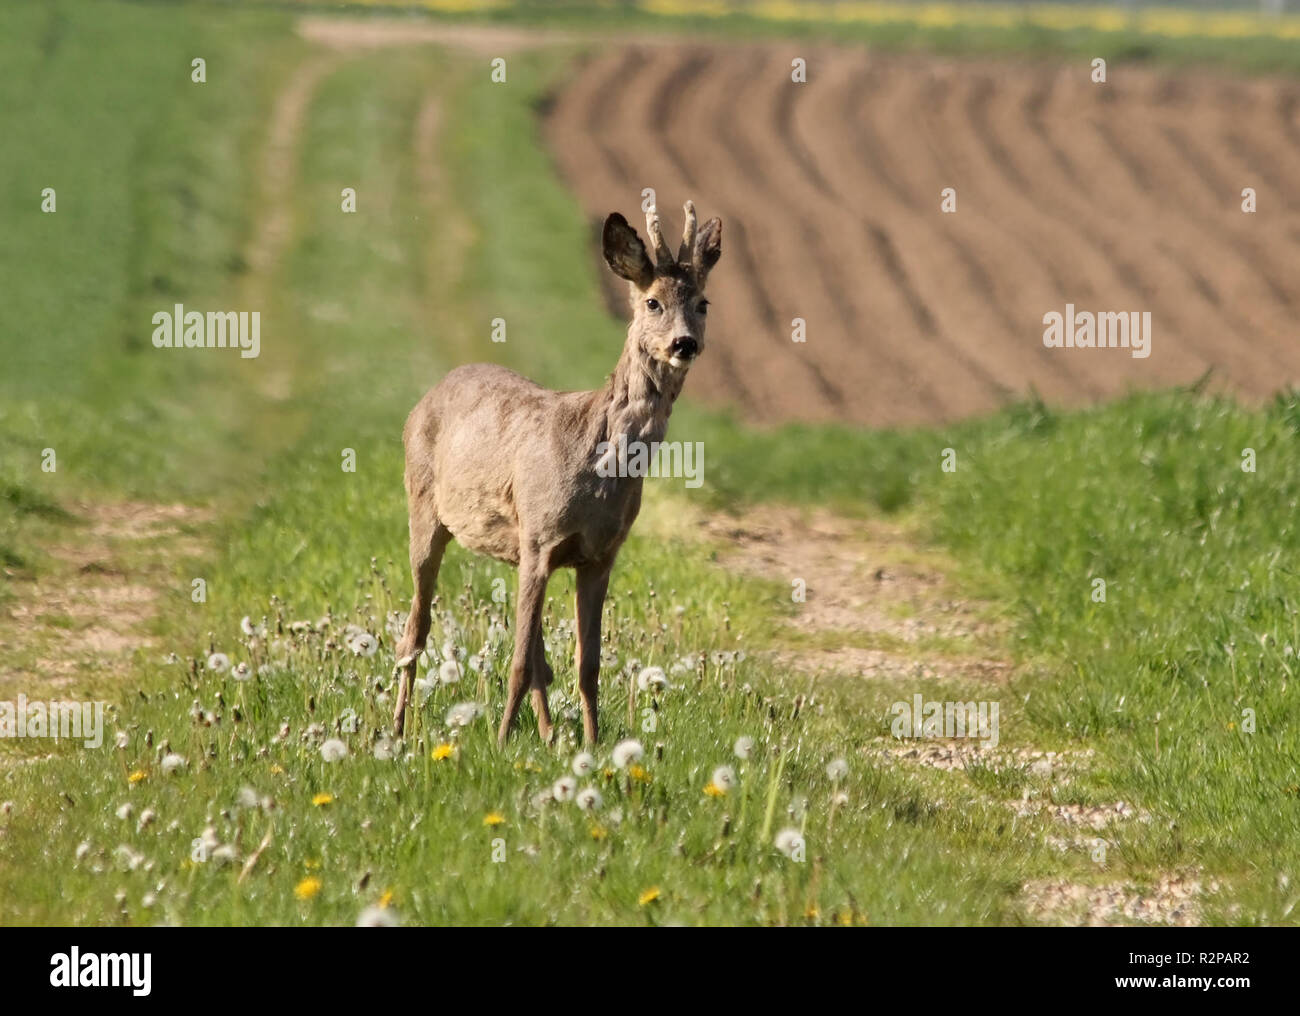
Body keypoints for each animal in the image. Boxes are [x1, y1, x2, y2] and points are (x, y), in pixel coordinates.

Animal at [390, 198, 728, 748]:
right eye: (652, 302)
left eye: (704, 303)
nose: (684, 344)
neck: (597, 462)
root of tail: (429, 394)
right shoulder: (540, 537)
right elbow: (517, 663)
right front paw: (501, 742)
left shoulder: (597, 555)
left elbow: (586, 664)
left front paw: (590, 744)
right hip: (425, 510)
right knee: (415, 630)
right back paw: (398, 728)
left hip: (519, 548)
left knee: (539, 653)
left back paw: (549, 734)